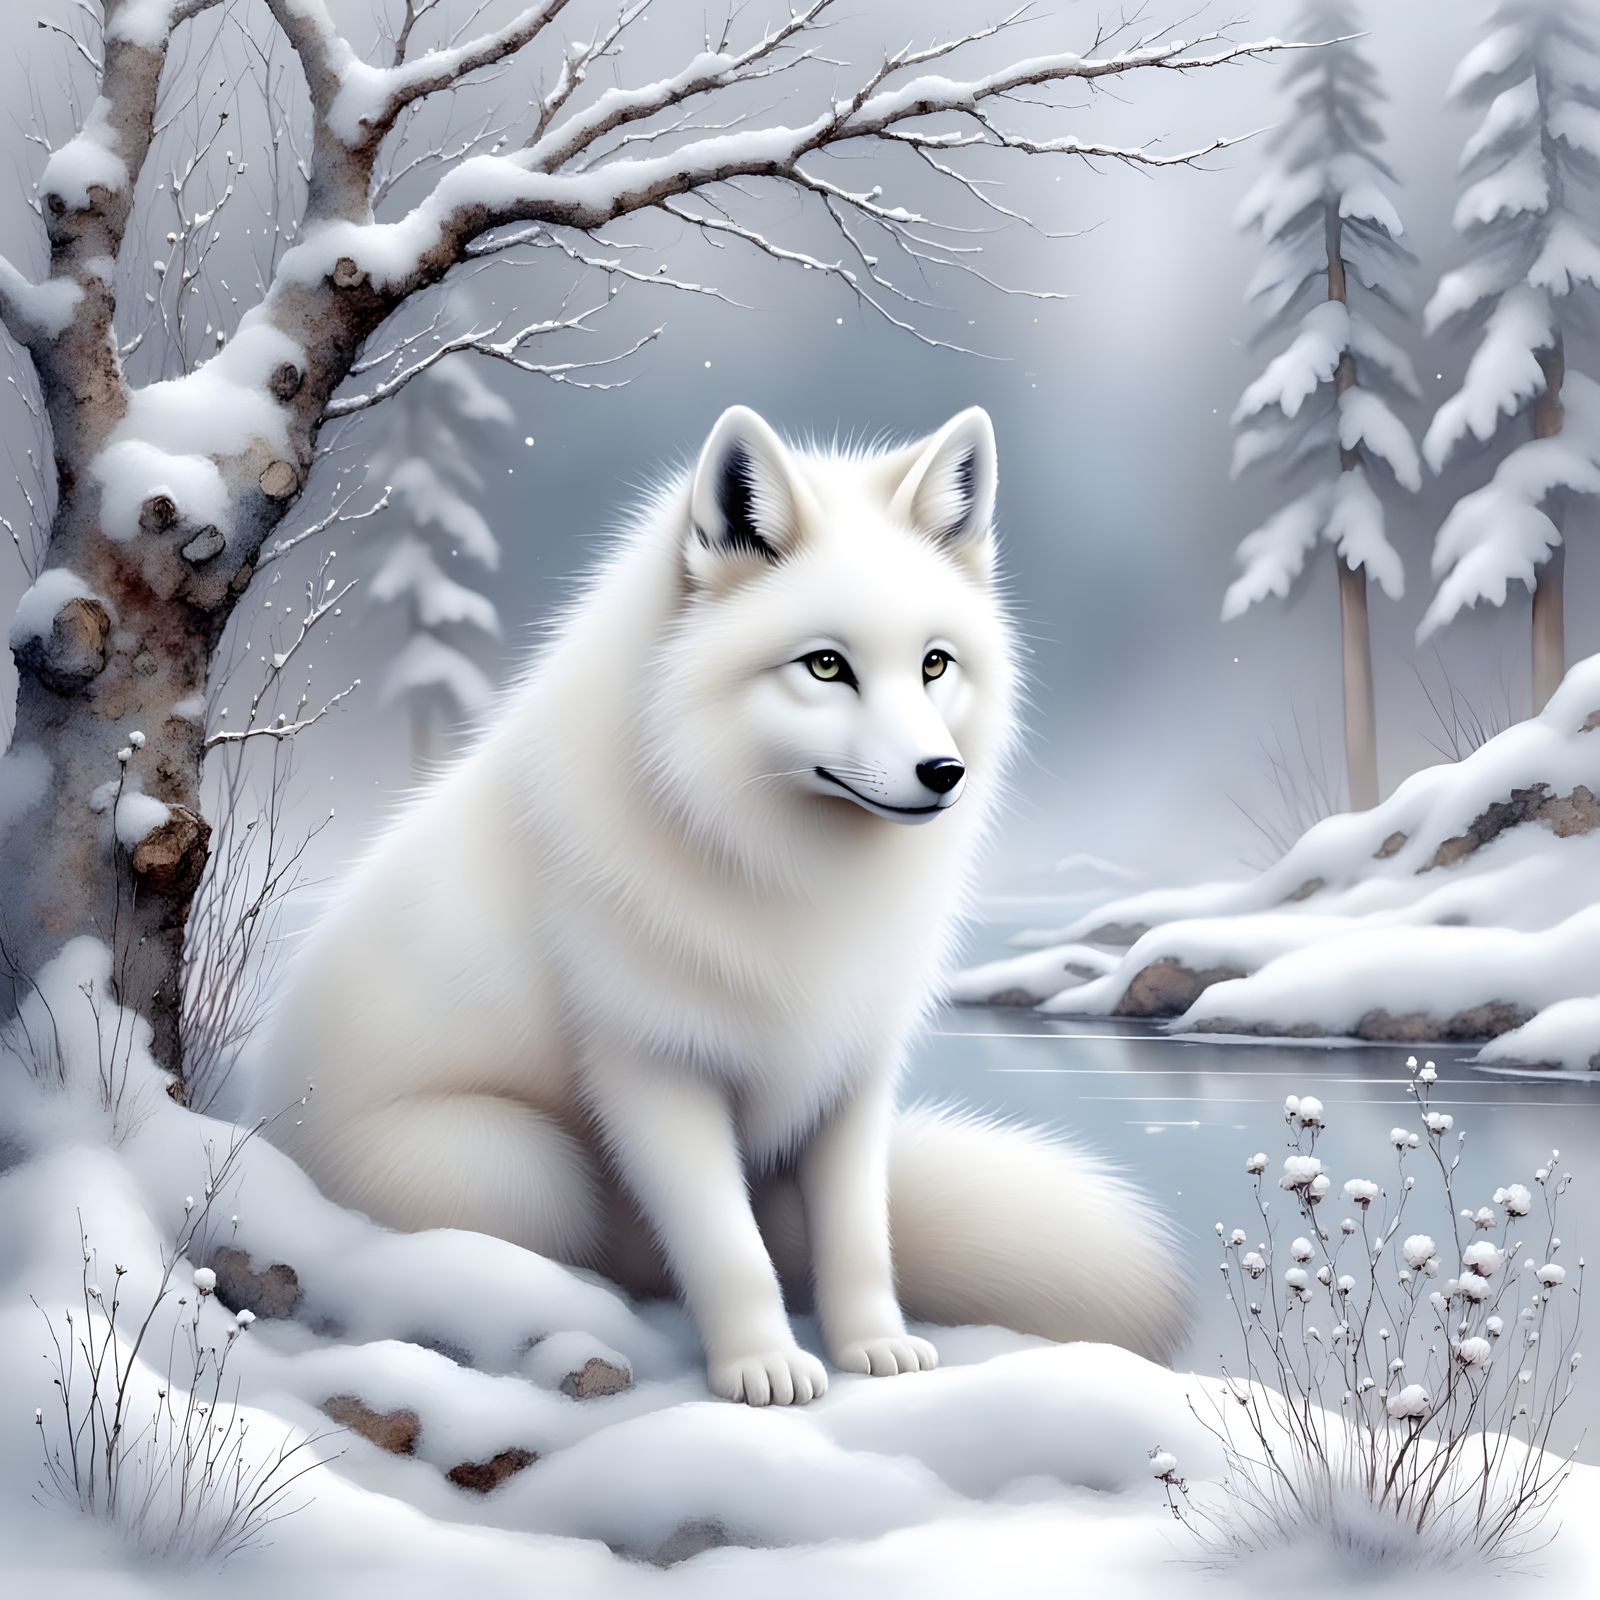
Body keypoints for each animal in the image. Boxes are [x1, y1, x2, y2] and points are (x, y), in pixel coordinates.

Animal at [254, 404, 1189, 1404]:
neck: (791, 876)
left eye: (935, 664)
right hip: (521, 1166)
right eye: (826, 666)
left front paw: (874, 1348)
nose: (944, 773)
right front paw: (763, 1367)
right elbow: (728, 1247)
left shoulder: (854, 1070)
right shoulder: (655, 1068)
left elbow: (861, 1237)